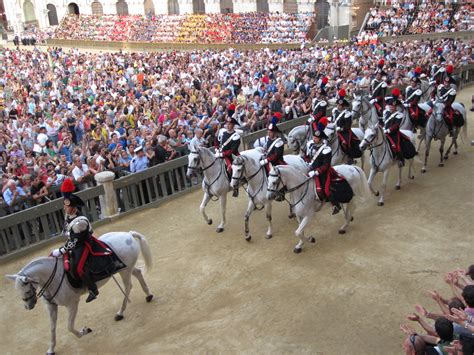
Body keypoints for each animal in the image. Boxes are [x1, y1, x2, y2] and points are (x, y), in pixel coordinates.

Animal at [6, 231, 153, 355]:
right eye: (17, 291)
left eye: (26, 289)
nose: (28, 306)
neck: (52, 276)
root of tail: (128, 234)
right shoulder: (51, 306)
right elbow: (52, 328)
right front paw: (51, 349)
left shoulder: (72, 304)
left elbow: (69, 326)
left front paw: (84, 331)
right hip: (126, 269)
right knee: (138, 273)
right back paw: (148, 295)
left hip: (124, 271)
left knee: (128, 286)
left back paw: (120, 313)